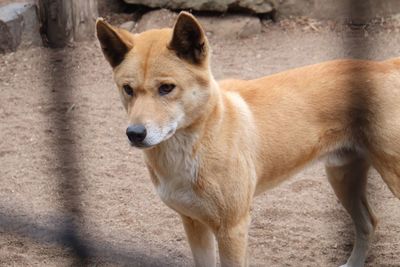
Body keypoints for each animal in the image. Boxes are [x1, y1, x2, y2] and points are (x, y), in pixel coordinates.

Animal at [96, 11, 400, 266]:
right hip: (341, 177)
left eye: (167, 88)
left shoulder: (233, 228)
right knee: (369, 224)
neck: (194, 146)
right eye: (127, 89)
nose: (135, 134)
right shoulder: (194, 223)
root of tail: (386, 66)